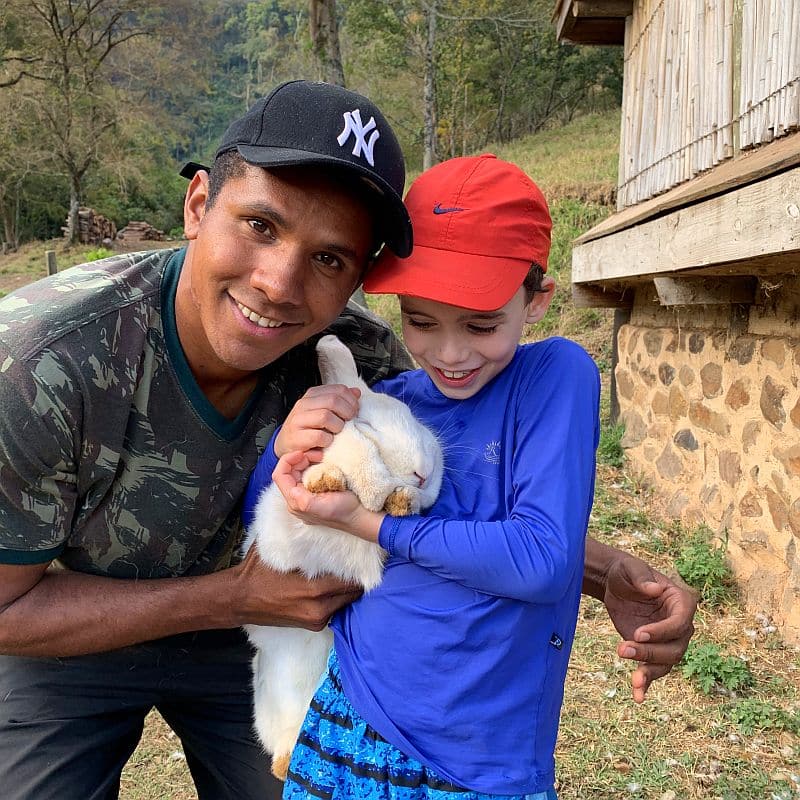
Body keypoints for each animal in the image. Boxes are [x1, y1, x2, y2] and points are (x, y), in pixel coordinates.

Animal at [244, 332, 444, 780]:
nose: (423, 473)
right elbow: (352, 453)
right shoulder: (283, 532)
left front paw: (402, 500)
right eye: (369, 425)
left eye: (415, 420)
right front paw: (334, 481)